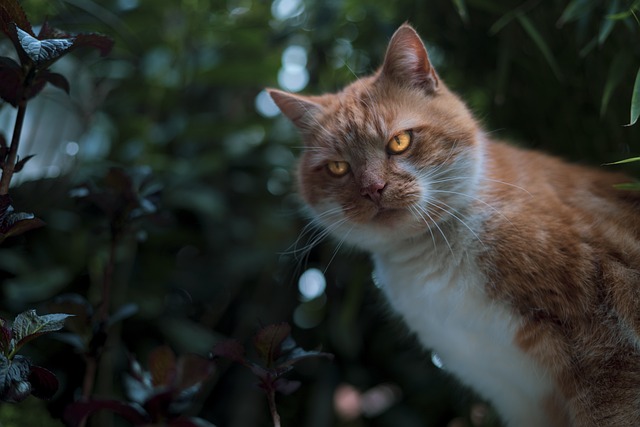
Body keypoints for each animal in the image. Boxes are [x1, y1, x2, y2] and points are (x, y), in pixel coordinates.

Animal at [268, 24, 640, 427]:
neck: (431, 258)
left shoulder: (605, 353)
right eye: (338, 167)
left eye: (399, 142)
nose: (373, 189)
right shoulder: (520, 399)